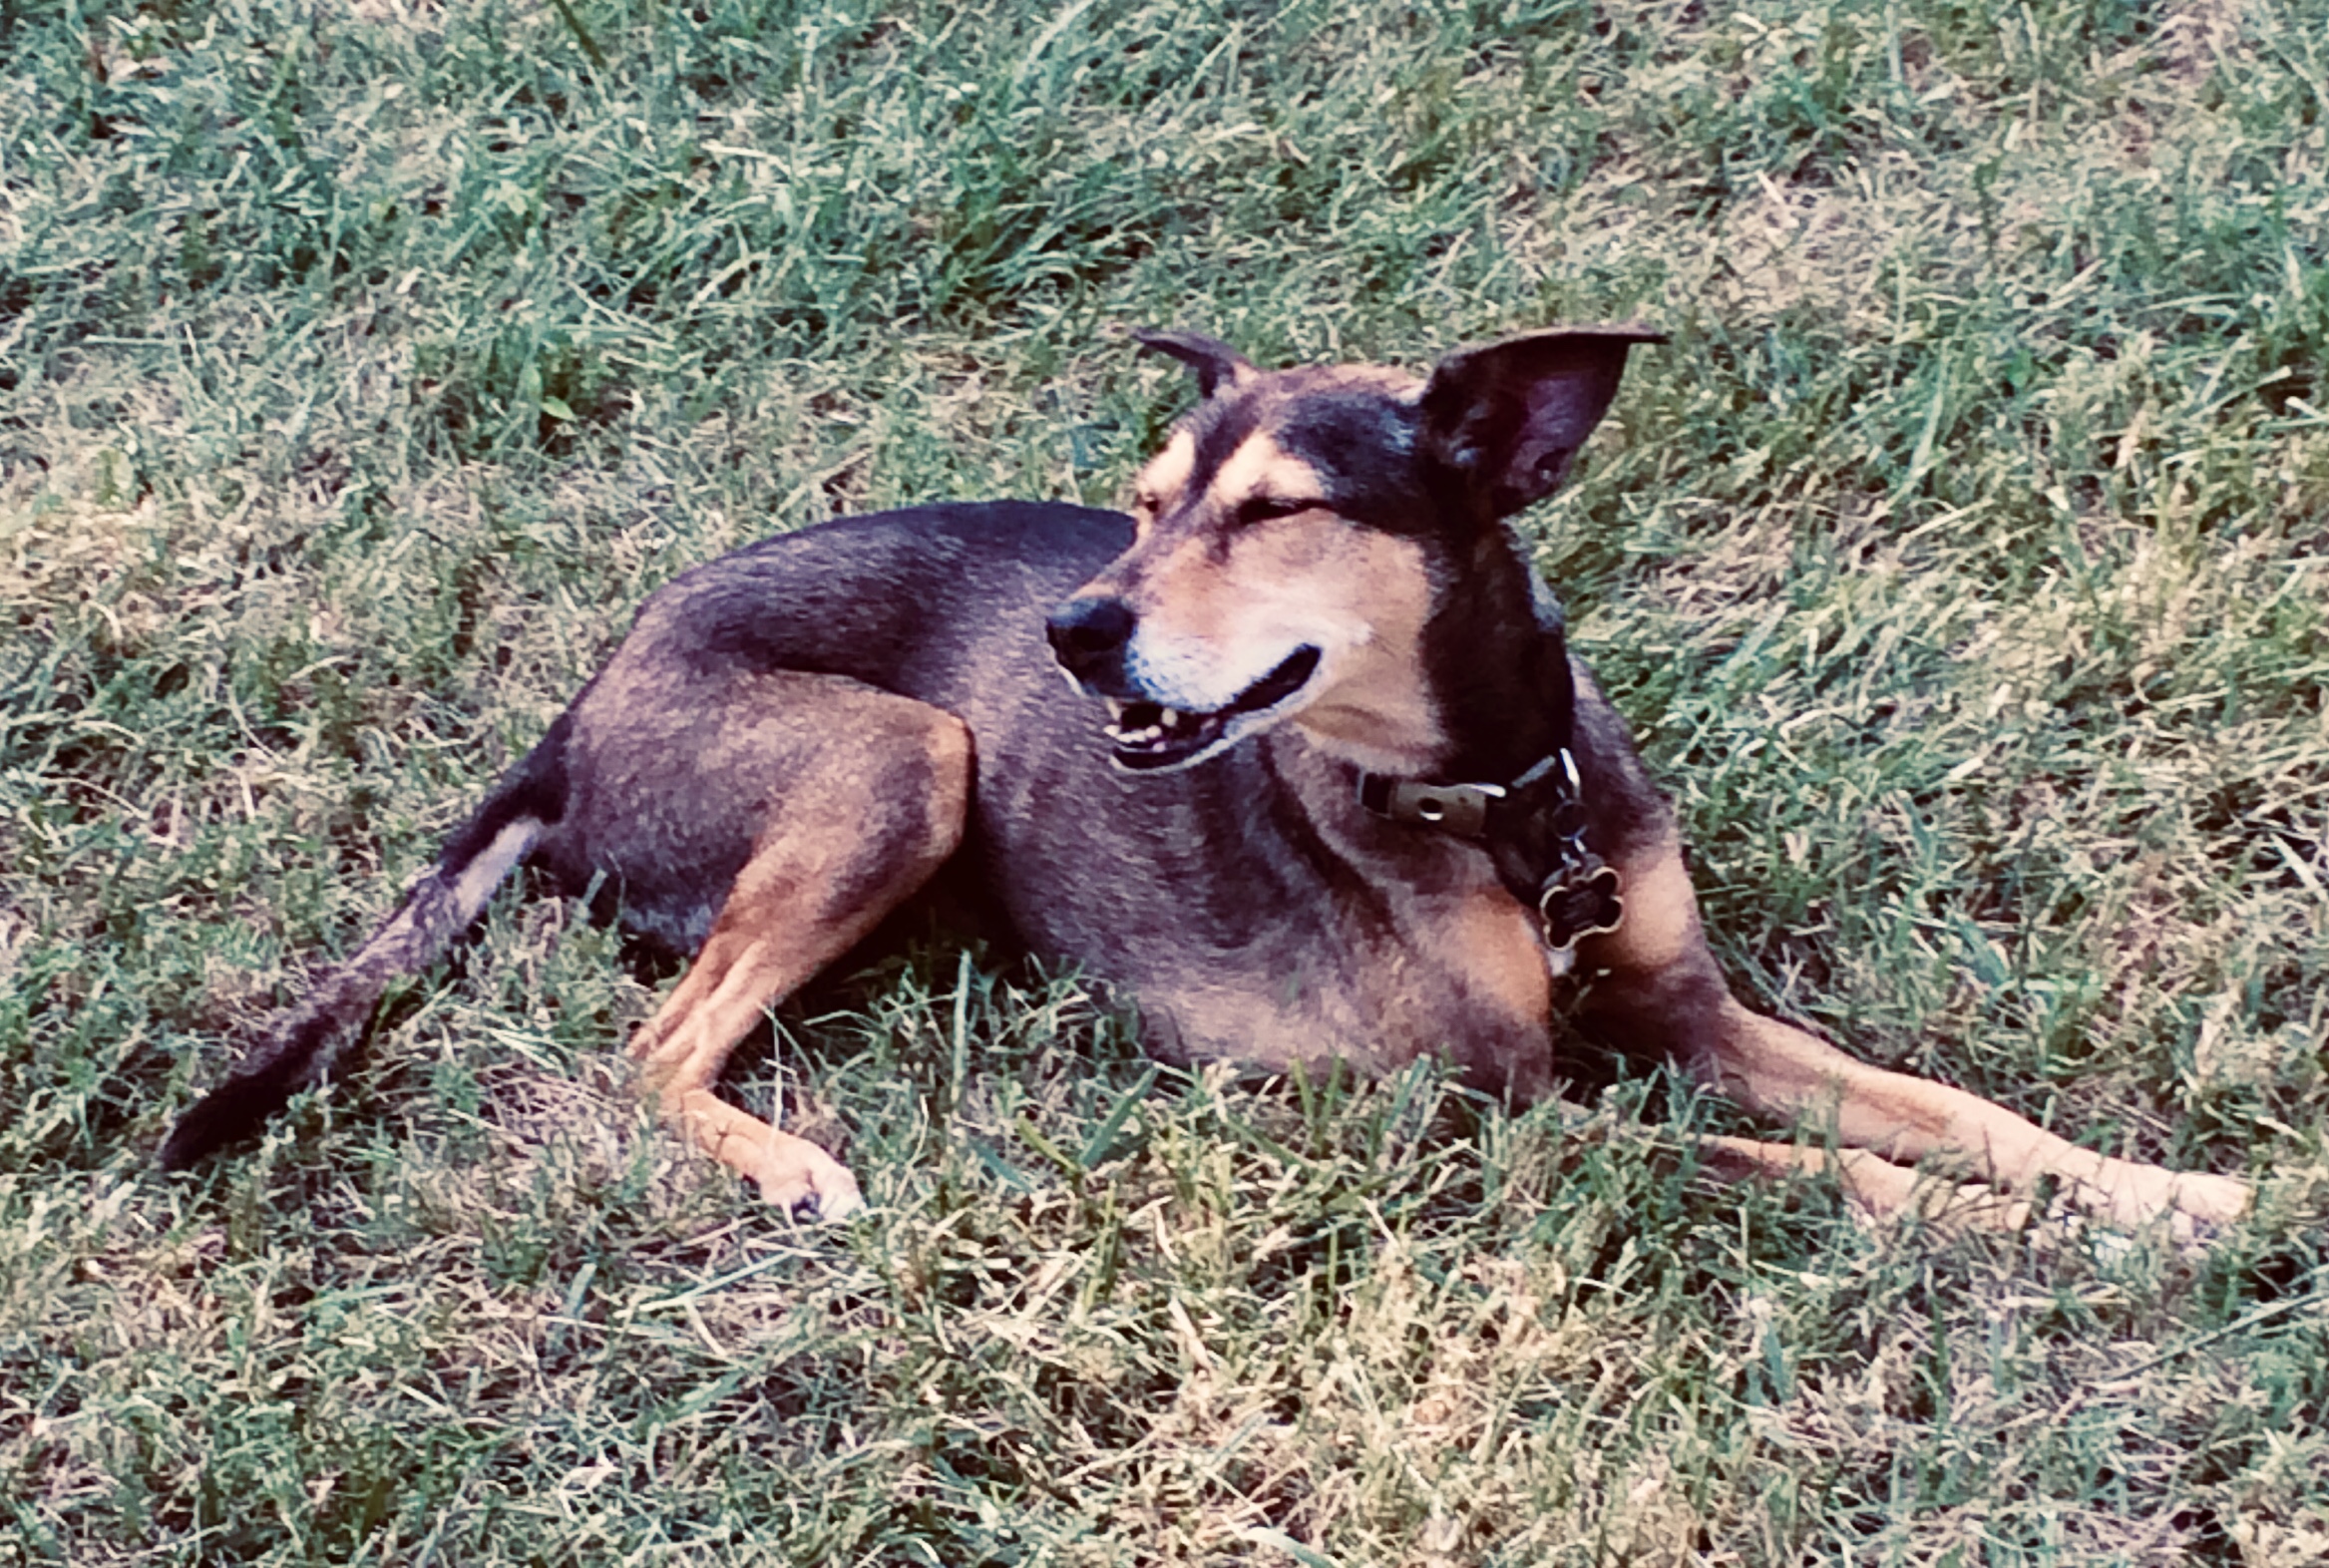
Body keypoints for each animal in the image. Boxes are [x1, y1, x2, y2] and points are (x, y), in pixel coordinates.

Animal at [155, 330, 2244, 1239]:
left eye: (1274, 509)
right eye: (1149, 498)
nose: (1077, 631)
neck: (1499, 796)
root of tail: (576, 713)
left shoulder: (1683, 1009)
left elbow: (1950, 1113)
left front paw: (2162, 1188)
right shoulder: (1503, 1121)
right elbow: (1823, 1170)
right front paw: (2058, 1241)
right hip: (907, 753)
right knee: (649, 1052)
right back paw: (787, 1159)